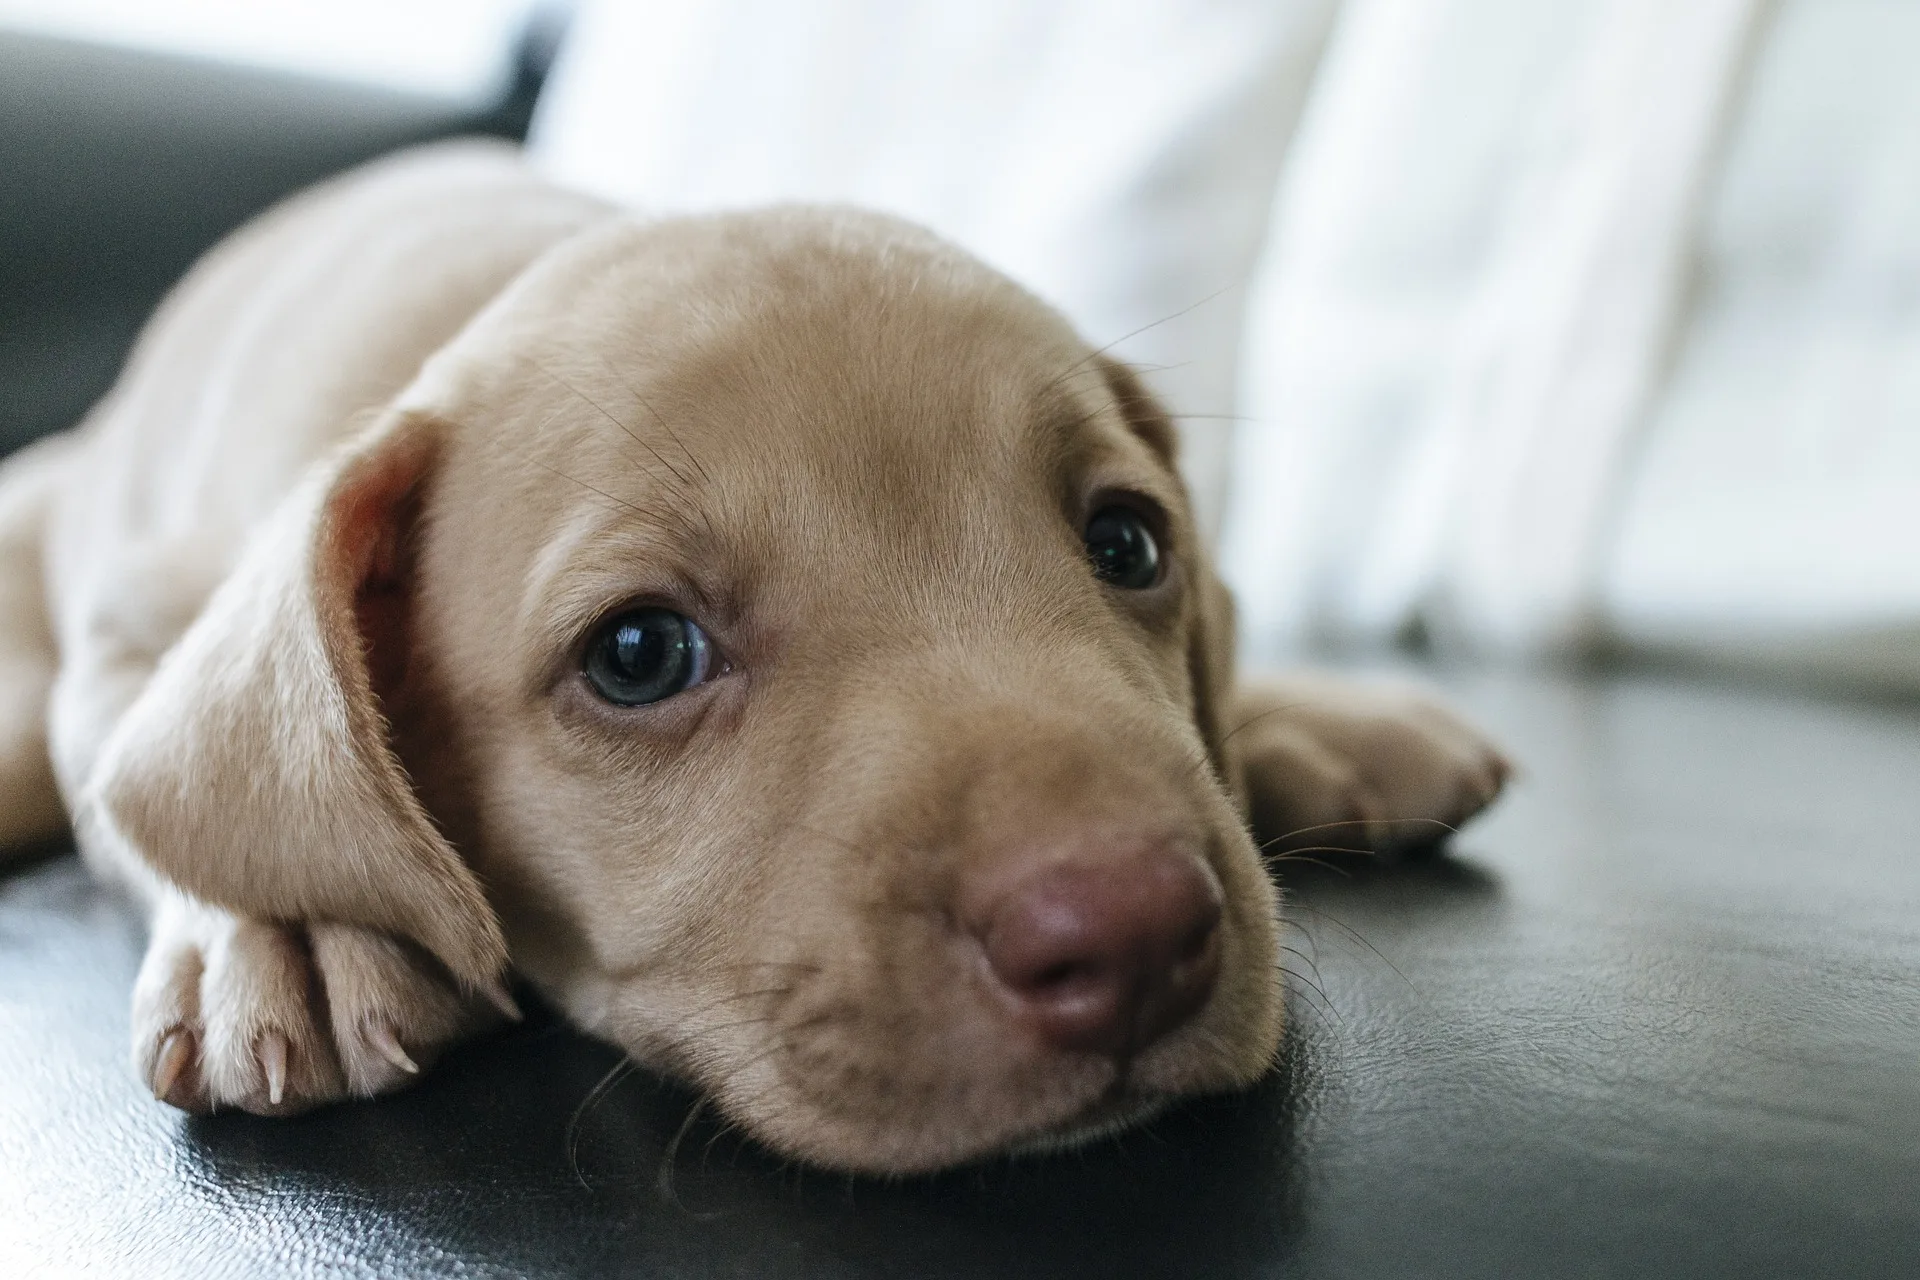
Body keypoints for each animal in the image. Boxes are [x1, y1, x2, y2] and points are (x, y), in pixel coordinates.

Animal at [0, 142, 1505, 1182]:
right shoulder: (131, 622)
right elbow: (170, 784)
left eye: (1129, 544)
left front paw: (1302, 721)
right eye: (638, 653)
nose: (1134, 932)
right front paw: (294, 929)